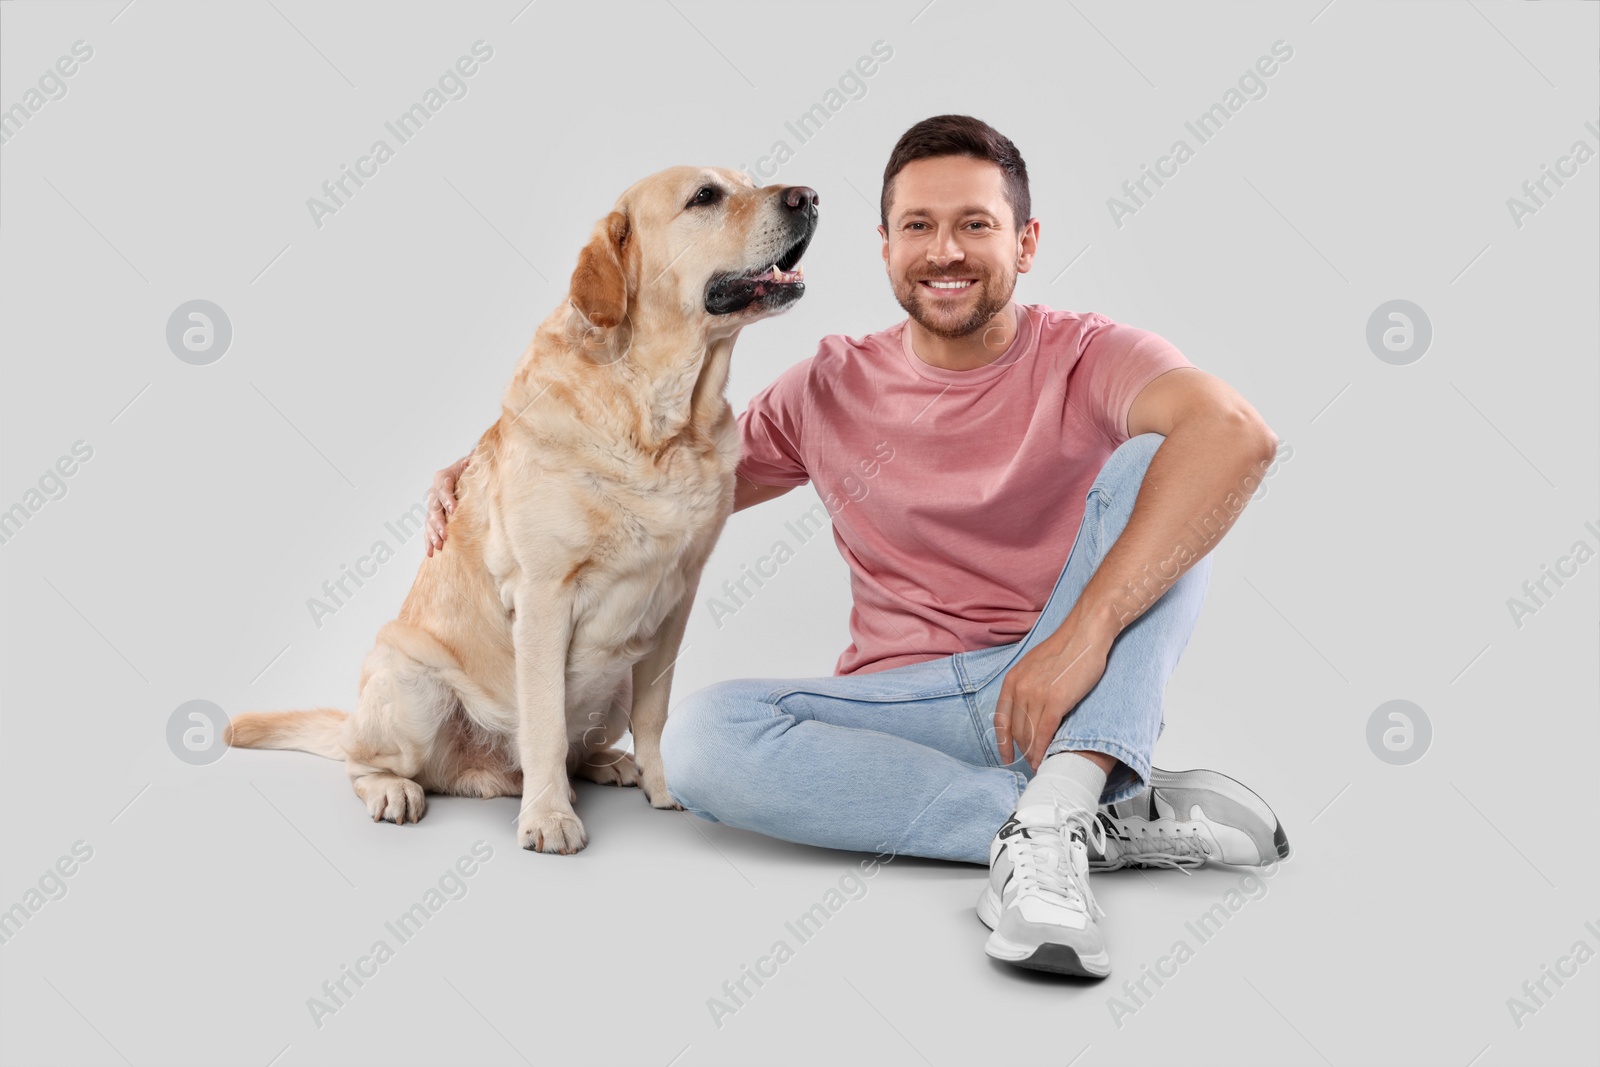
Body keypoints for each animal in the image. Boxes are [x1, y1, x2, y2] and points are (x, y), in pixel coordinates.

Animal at [228, 167, 812, 857]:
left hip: (617, 673)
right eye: (704, 197)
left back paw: (607, 764)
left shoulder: (677, 599)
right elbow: (545, 723)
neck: (662, 416)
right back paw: (398, 790)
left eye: (747, 181)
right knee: (367, 761)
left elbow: (655, 713)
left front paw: (665, 784)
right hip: (407, 676)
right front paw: (550, 817)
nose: (809, 197)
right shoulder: (542, 595)